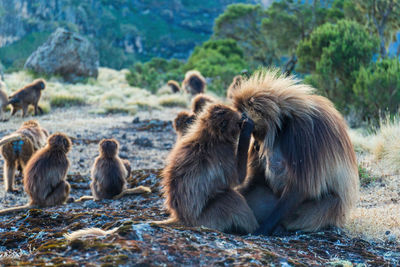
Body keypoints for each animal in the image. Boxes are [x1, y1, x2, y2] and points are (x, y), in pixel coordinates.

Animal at [160, 104, 258, 234]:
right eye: (238, 123)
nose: (243, 115)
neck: (211, 135)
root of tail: (181, 218)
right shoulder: (224, 152)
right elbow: (238, 179)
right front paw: (247, 129)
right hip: (207, 219)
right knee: (231, 198)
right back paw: (257, 230)